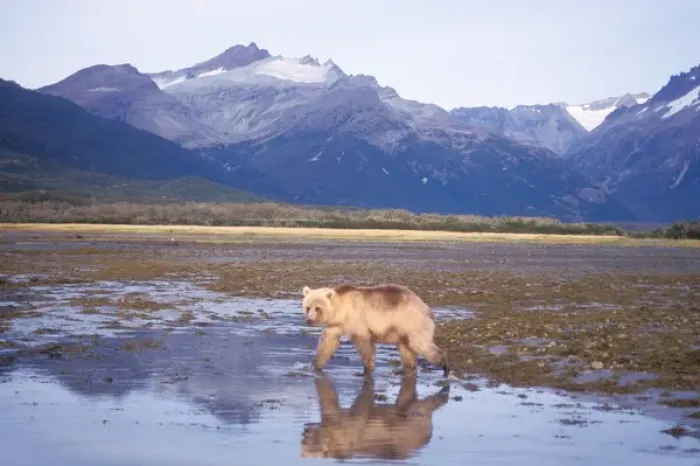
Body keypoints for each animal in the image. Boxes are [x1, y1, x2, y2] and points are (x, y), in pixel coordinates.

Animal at [301, 283, 449, 377]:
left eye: (318, 308)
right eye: (308, 307)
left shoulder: (357, 321)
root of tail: (426, 307)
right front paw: (313, 366)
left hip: (412, 323)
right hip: (402, 330)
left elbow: (365, 345)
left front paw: (366, 370)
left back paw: (445, 366)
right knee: (406, 350)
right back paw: (405, 370)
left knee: (420, 344)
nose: (309, 320)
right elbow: (327, 345)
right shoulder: (335, 326)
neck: (341, 310)